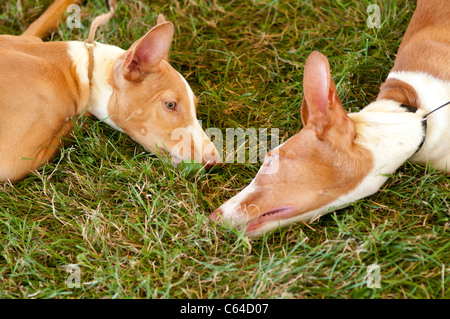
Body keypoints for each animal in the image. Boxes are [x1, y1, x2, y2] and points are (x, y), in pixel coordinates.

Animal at [0, 0, 218, 181]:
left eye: (195, 105)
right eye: (170, 104)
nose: (216, 162)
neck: (81, 69)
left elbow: (45, 18)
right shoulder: (15, 161)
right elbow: (78, 119)